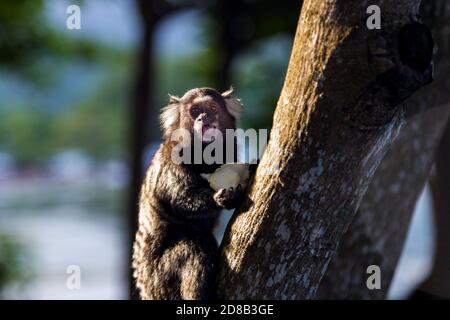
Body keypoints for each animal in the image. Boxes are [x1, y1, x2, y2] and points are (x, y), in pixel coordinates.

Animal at [133, 87, 246, 300]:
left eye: (211, 108)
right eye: (195, 111)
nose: (203, 117)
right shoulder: (172, 162)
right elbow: (181, 200)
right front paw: (221, 198)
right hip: (160, 280)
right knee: (194, 247)